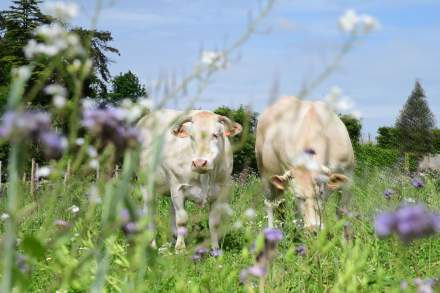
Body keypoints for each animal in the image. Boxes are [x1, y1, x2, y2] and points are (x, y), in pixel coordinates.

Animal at [137, 108, 241, 250]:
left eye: (215, 135)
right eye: (191, 136)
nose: (199, 163)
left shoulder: (221, 191)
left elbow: (214, 222)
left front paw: (215, 249)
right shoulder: (177, 188)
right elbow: (182, 220)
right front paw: (180, 248)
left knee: (171, 212)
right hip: (146, 184)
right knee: (150, 213)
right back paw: (153, 245)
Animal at [254, 96, 354, 228]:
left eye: (320, 193)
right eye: (298, 196)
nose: (313, 228)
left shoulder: (348, 176)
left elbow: (342, 211)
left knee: (280, 204)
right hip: (266, 174)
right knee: (271, 203)